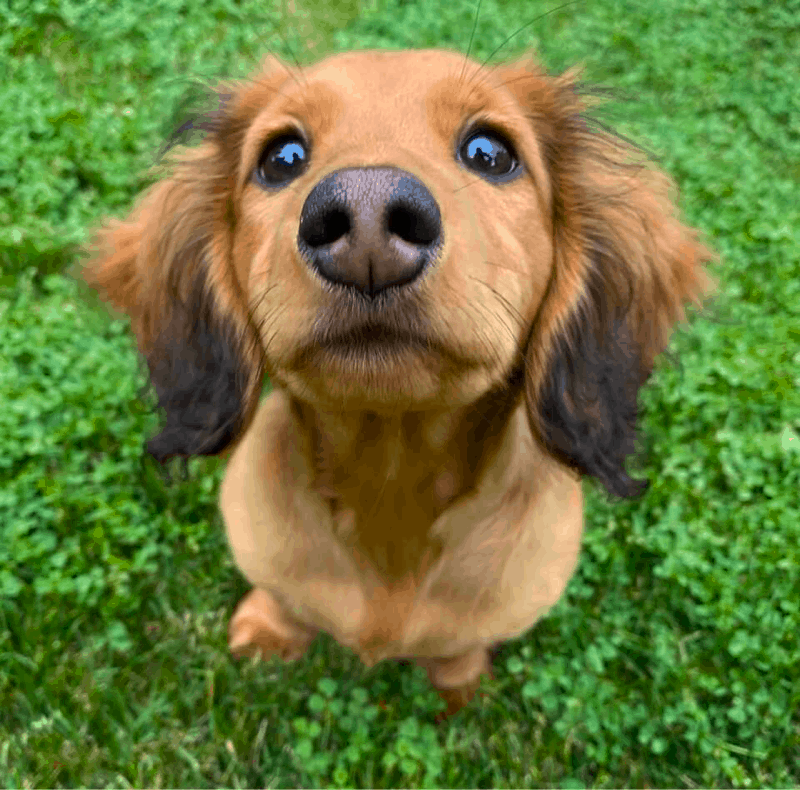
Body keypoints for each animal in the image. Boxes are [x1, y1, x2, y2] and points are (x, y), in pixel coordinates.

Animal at [86, 48, 712, 716]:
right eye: (282, 158)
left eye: (490, 152)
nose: (365, 218)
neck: (388, 482)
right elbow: (283, 597)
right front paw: (268, 633)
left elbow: (460, 647)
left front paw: (459, 687)